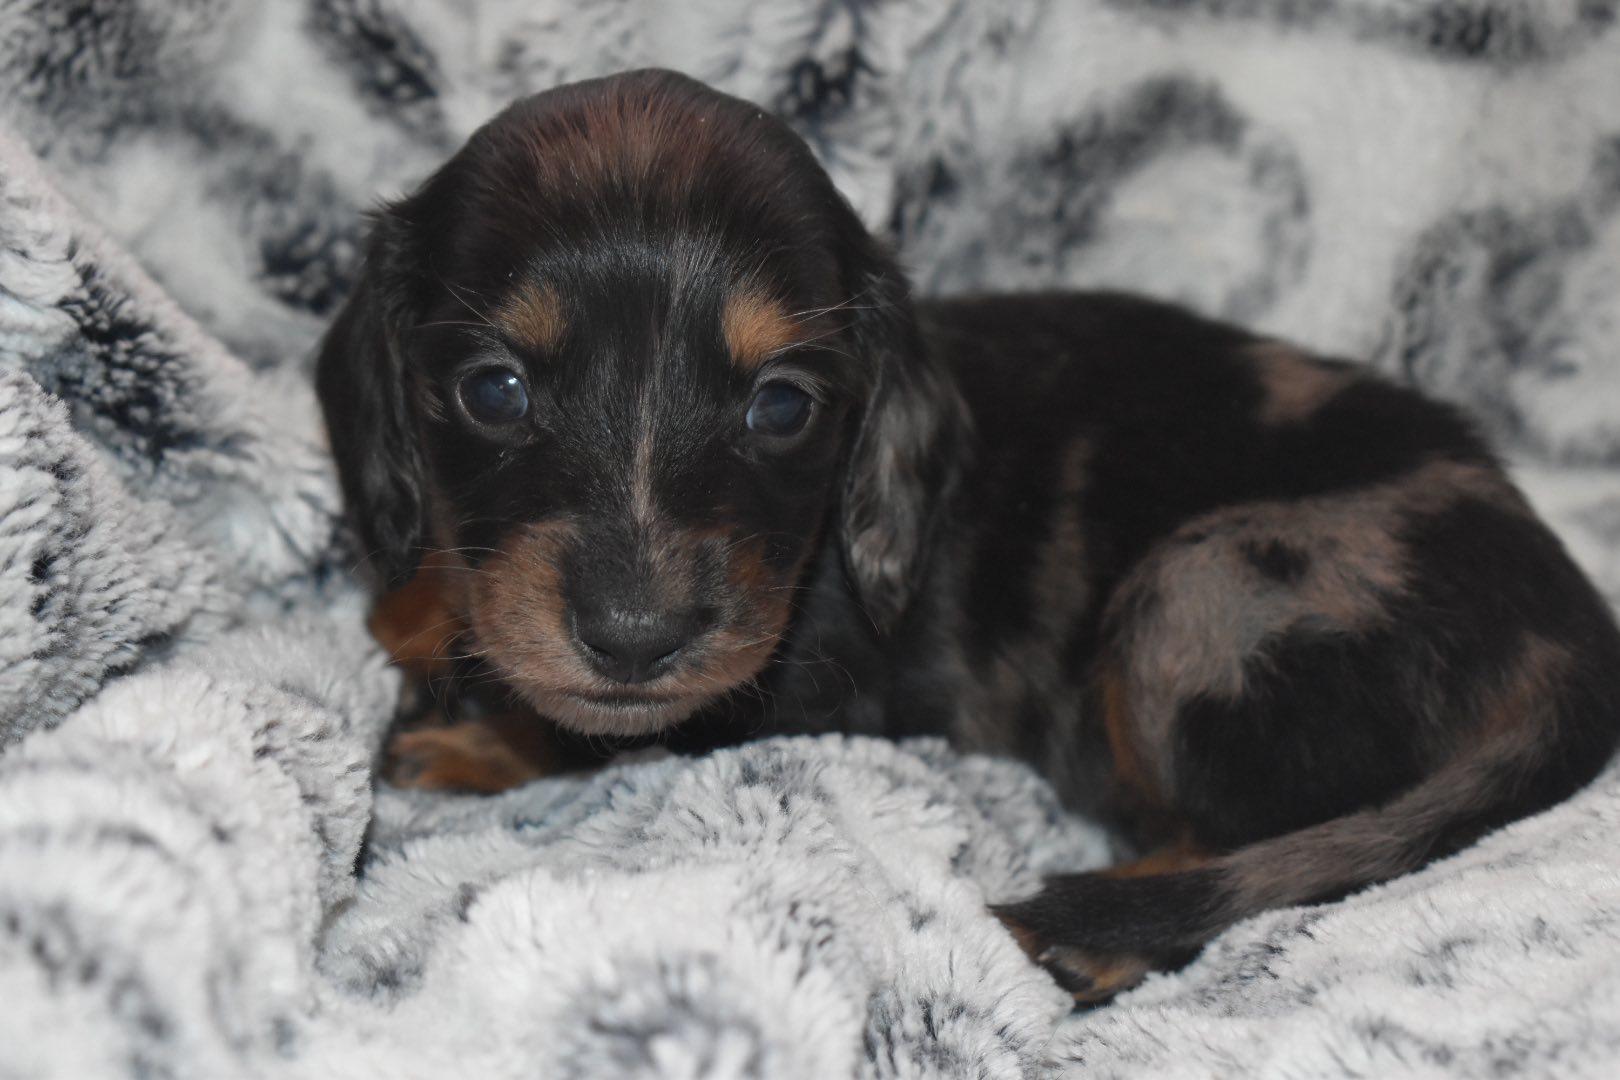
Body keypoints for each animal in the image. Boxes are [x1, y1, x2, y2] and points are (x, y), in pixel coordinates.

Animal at [317, 69, 1620, 1003]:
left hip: (1197, 592)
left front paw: (478, 740)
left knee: (1273, 839)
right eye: (493, 392)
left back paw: (1104, 928)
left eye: (782, 406)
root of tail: (1569, 627)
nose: (635, 638)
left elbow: (599, 734)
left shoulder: (799, 684)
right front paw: (422, 606)